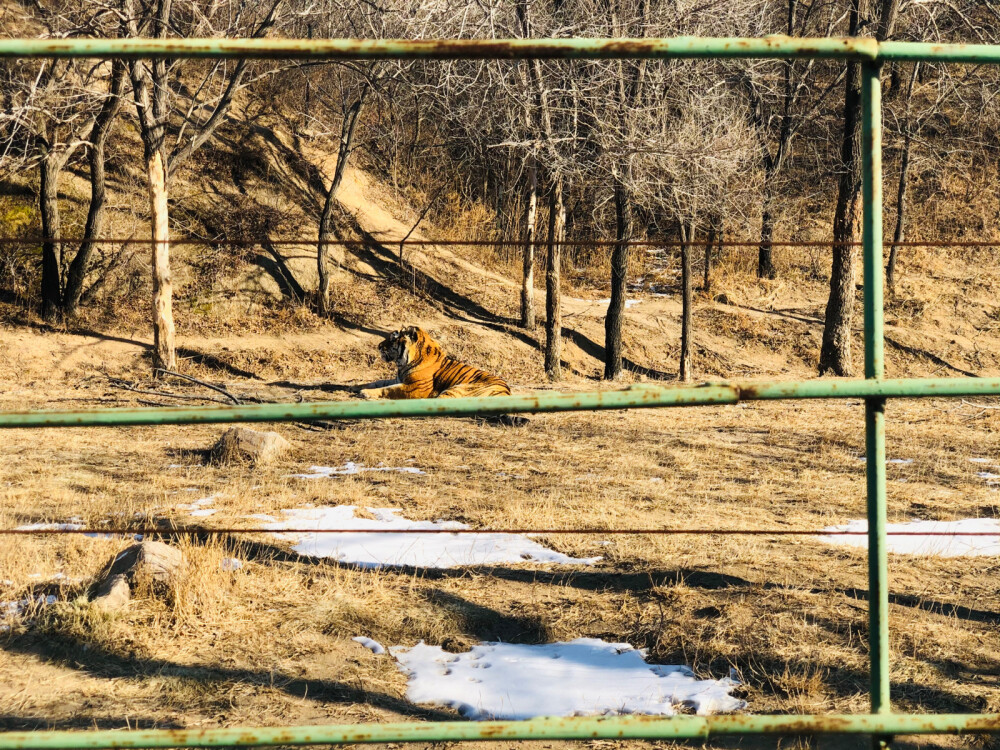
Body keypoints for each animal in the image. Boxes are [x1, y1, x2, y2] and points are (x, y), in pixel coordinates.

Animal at [358, 326, 512, 402]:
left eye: (392, 339)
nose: (378, 346)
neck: (403, 364)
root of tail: (506, 392)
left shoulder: (415, 387)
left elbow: (388, 389)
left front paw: (365, 393)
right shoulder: (398, 379)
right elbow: (378, 383)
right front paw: (357, 387)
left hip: (457, 388)